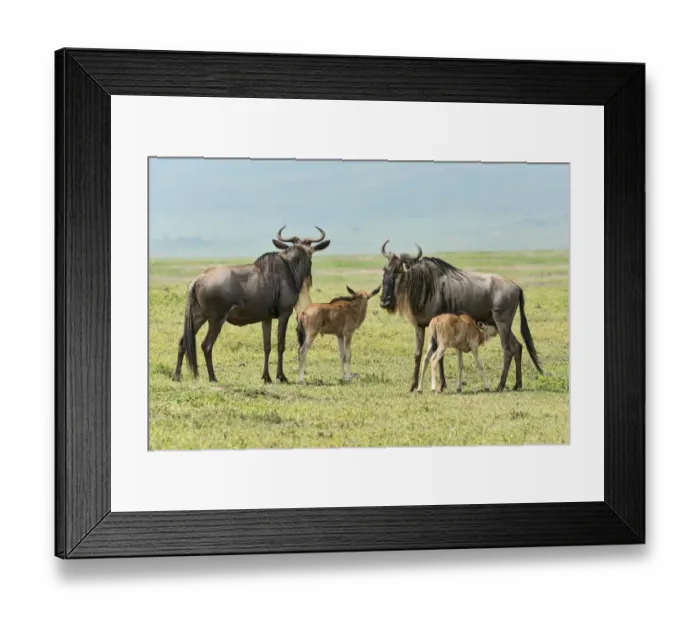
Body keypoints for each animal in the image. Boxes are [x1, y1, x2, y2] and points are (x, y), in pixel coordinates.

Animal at [173, 226, 331, 384]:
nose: (307, 277)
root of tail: (198, 279)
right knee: (206, 345)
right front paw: (281, 376)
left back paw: (177, 376)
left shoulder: (266, 318)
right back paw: (213, 377)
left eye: (309, 252)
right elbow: (280, 345)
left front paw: (266, 377)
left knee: (183, 342)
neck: (289, 268)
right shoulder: (284, 314)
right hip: (216, 320)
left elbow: (267, 346)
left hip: (198, 317)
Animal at [378, 240, 544, 392]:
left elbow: (440, 357)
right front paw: (413, 386)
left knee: (507, 349)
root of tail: (517, 286)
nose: (384, 302)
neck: (425, 284)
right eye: (385, 269)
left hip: (502, 323)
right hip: (500, 324)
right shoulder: (420, 326)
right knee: (518, 347)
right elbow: (418, 354)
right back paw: (517, 384)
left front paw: (442, 385)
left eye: (398, 270)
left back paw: (500, 385)